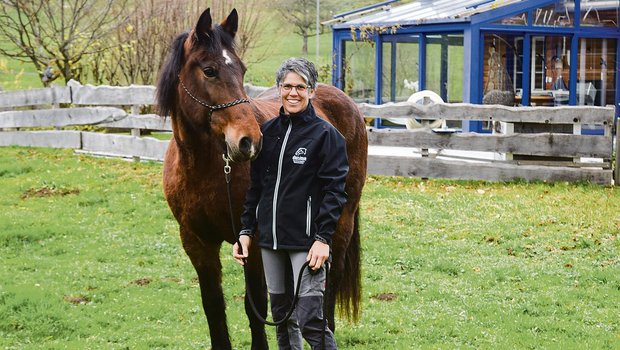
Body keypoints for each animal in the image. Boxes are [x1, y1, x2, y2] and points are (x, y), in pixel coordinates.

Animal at [156, 8, 368, 350]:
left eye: (241, 70)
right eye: (209, 71)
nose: (249, 142)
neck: (207, 169)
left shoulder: (253, 243)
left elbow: (254, 303)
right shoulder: (197, 242)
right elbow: (213, 305)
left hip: (340, 222)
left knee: (329, 280)